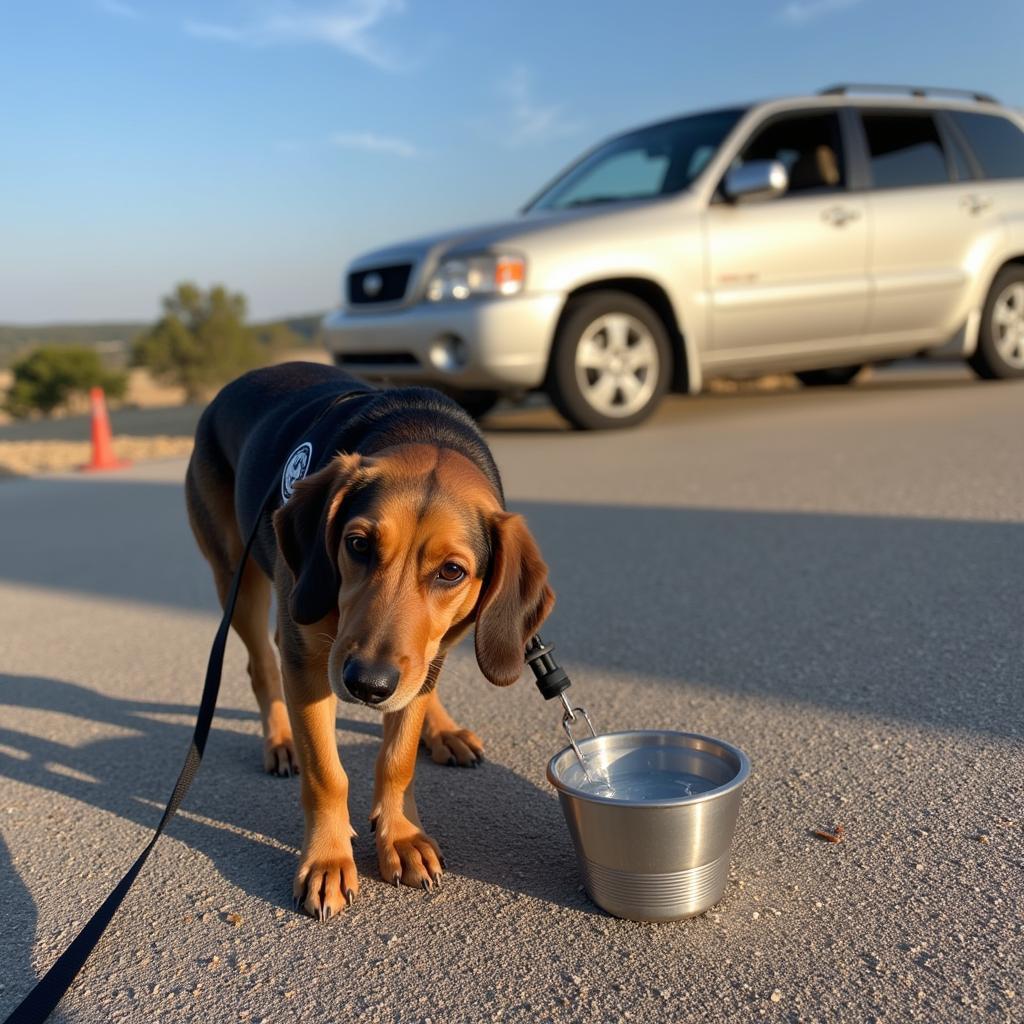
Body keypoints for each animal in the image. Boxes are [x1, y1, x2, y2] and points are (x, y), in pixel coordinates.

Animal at [184, 362, 552, 921]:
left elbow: (397, 759)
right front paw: (328, 860)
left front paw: (400, 836)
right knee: (261, 664)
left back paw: (441, 730)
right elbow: (326, 772)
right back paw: (280, 739)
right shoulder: (309, 662)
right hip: (237, 574)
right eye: (357, 544)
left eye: (451, 571)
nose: (368, 686)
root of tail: (241, 380)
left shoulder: (420, 658)